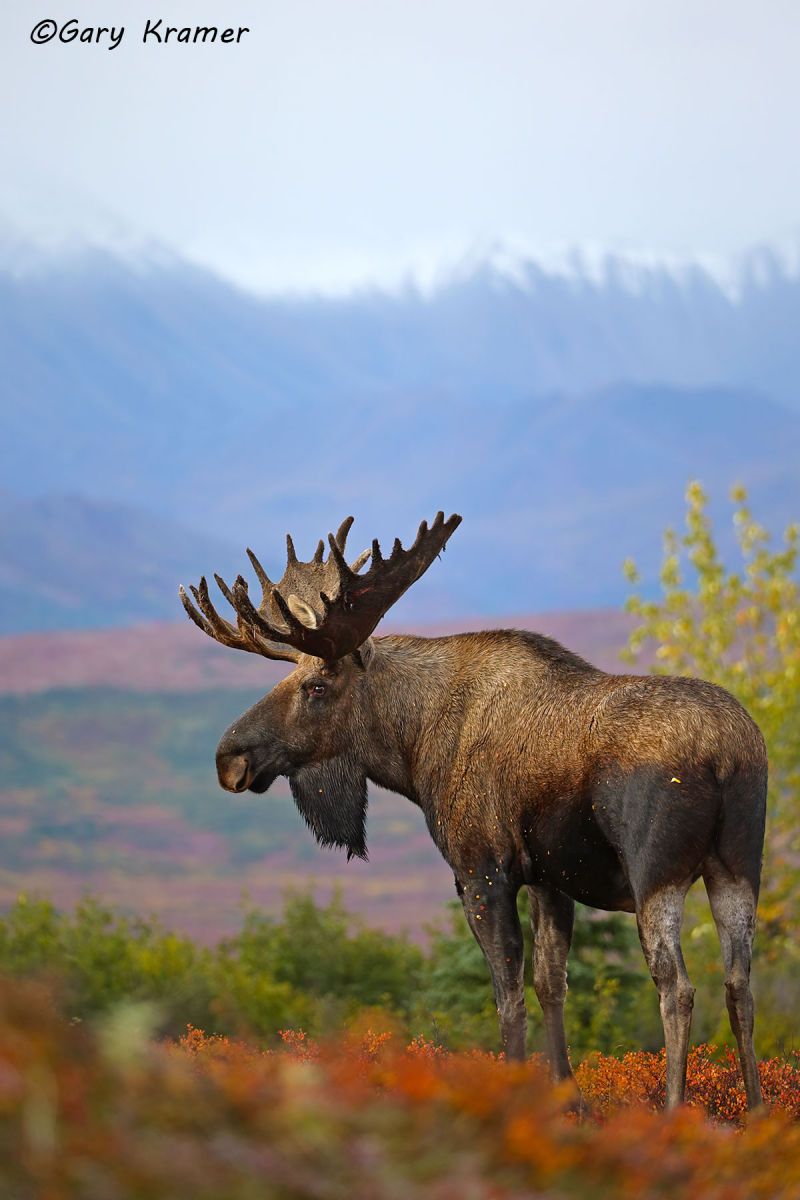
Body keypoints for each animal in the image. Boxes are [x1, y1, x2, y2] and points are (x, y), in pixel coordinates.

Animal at [180, 512, 767, 1111]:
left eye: (316, 686)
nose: (230, 759)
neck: (411, 748)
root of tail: (725, 754)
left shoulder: (480, 869)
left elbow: (507, 995)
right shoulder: (548, 876)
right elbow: (551, 982)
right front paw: (568, 1098)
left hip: (656, 874)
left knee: (677, 986)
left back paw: (674, 1110)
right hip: (738, 865)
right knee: (739, 983)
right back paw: (757, 1108)